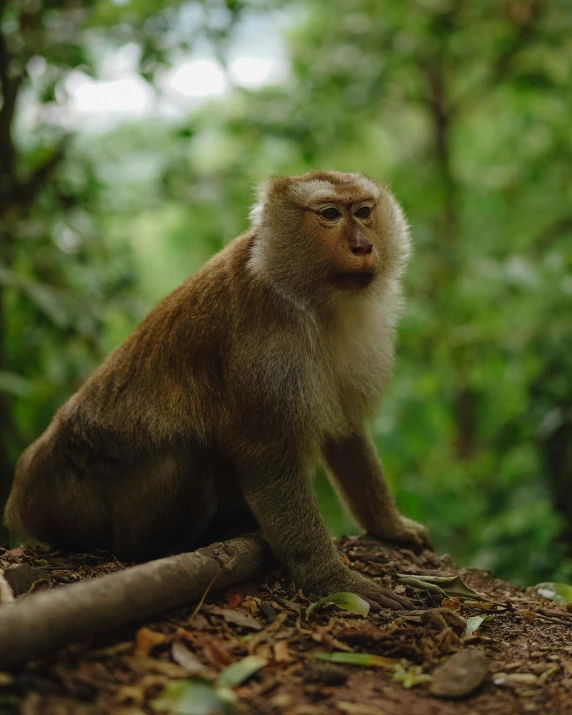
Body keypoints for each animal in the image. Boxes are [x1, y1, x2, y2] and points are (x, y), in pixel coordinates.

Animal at [3, 172, 428, 608]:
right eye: (329, 214)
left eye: (364, 210)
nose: (363, 245)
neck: (305, 295)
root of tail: (27, 494)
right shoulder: (266, 349)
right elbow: (267, 461)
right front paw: (334, 580)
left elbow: (347, 434)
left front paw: (390, 526)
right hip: (86, 506)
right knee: (180, 460)